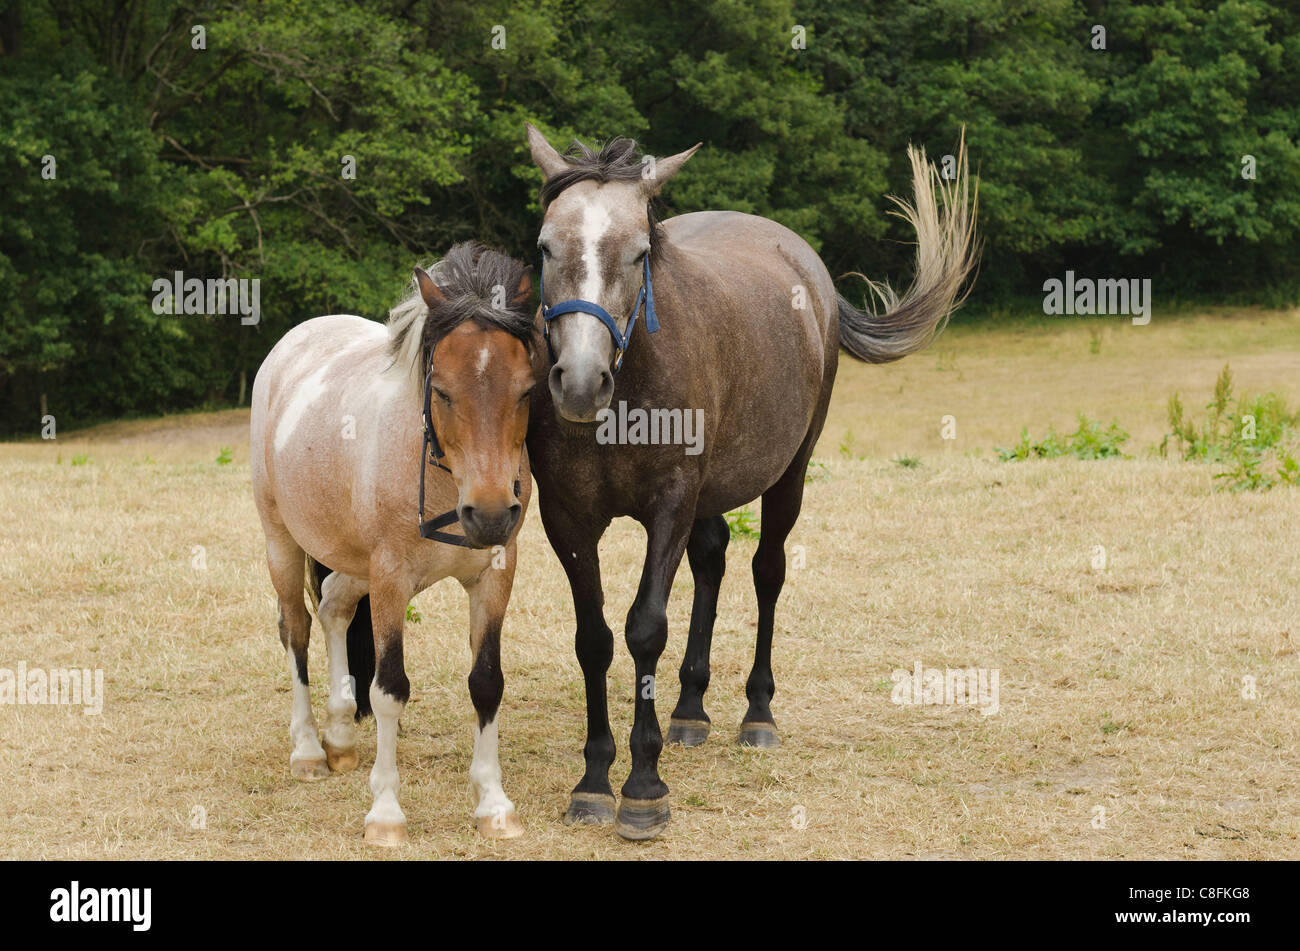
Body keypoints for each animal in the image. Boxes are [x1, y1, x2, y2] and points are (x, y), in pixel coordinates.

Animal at [249, 241, 537, 845]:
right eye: (442, 391)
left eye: (527, 389)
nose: (490, 514)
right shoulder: (389, 579)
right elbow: (389, 690)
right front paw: (385, 812)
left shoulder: (495, 575)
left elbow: (487, 682)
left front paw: (494, 803)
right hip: (282, 542)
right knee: (296, 629)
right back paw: (308, 749)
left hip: (355, 564)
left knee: (333, 606)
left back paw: (338, 735)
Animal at [522, 123, 978, 839]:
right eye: (545, 246)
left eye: (639, 253)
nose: (579, 381)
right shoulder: (569, 519)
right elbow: (593, 639)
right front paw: (594, 778)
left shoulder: (670, 507)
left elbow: (645, 627)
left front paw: (644, 787)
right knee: (712, 564)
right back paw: (690, 708)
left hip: (789, 475)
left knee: (768, 571)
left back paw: (757, 713)